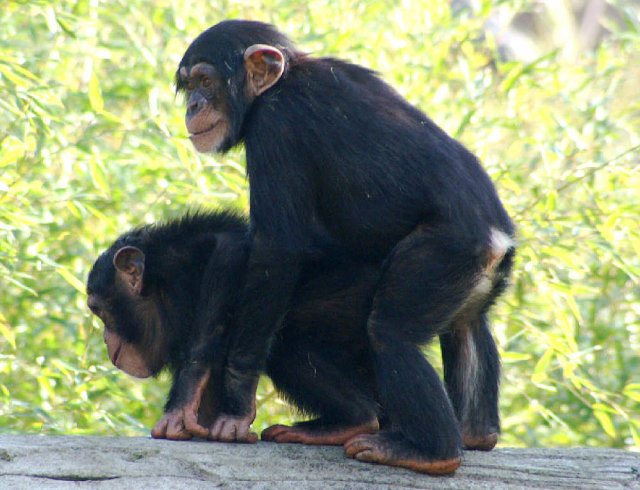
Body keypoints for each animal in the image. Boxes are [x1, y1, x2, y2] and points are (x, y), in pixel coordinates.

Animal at [174, 20, 516, 474]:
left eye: (206, 81)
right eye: (189, 84)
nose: (193, 104)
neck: (282, 81)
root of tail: (497, 240)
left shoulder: (277, 128)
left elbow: (277, 250)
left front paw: (235, 410)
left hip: (443, 255)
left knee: (390, 333)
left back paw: (429, 452)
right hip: (476, 275)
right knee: (467, 327)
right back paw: (476, 433)